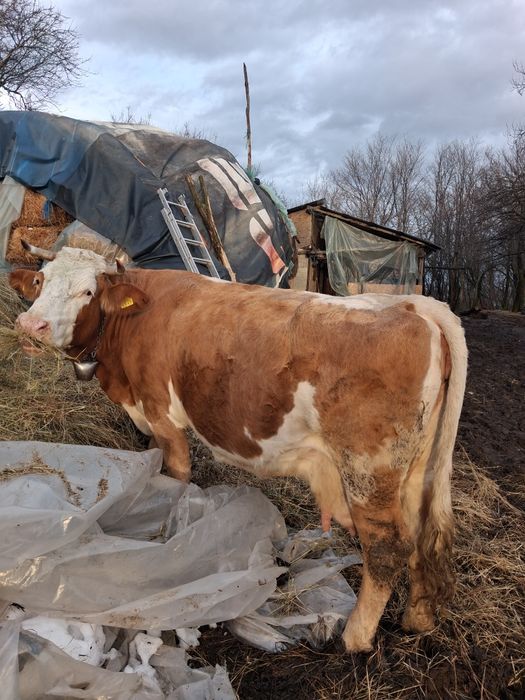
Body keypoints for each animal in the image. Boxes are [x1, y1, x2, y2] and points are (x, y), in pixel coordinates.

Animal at [9, 244, 467, 653]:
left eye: (87, 292)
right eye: (41, 280)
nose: (31, 325)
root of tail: (414, 305)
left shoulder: (162, 413)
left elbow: (177, 476)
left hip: (368, 471)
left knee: (387, 549)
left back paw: (355, 638)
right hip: (417, 472)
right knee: (423, 538)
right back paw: (417, 619)